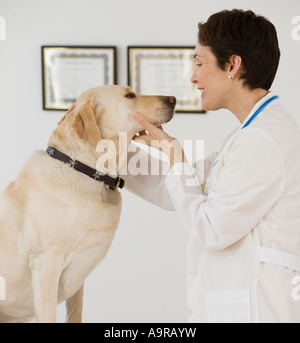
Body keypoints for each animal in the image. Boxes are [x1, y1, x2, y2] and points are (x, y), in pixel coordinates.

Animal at [0, 85, 176, 322]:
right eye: (129, 95)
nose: (174, 99)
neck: (87, 171)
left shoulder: (77, 281)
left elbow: (75, 313)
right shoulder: (46, 265)